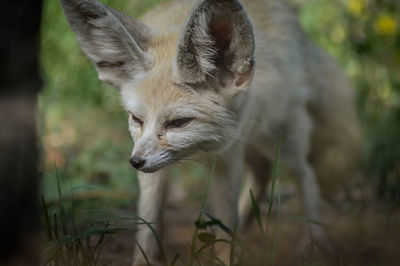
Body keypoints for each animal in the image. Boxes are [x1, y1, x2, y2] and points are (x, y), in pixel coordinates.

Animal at [61, 0, 360, 262]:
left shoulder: (228, 155)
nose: (135, 162)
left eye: (178, 123)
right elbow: (148, 226)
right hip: (255, 144)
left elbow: (225, 223)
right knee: (262, 175)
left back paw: (315, 241)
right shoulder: (157, 170)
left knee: (306, 176)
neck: (202, 151)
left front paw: (227, 255)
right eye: (136, 119)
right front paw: (143, 260)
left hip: (280, 140)